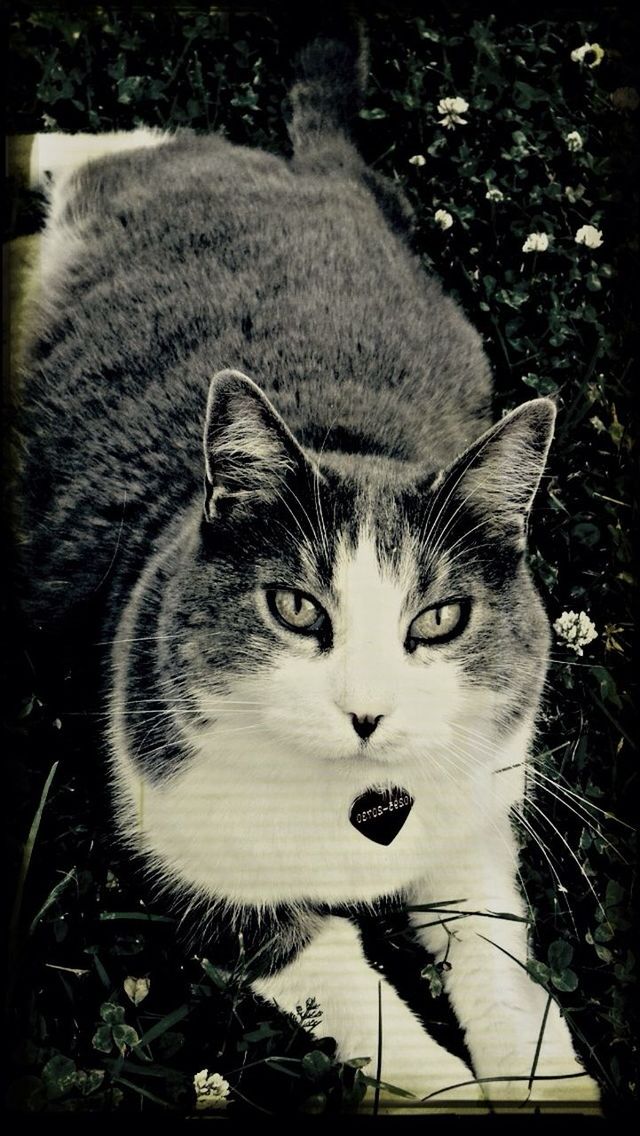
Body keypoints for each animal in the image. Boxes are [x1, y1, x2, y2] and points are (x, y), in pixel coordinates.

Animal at [17, 26, 604, 1108]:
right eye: (295, 608)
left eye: (439, 619)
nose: (366, 712)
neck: (360, 814)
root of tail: (316, 176)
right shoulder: (212, 884)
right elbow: (372, 1013)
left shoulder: (472, 819)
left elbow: (501, 969)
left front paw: (544, 1076)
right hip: (131, 175)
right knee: (103, 142)